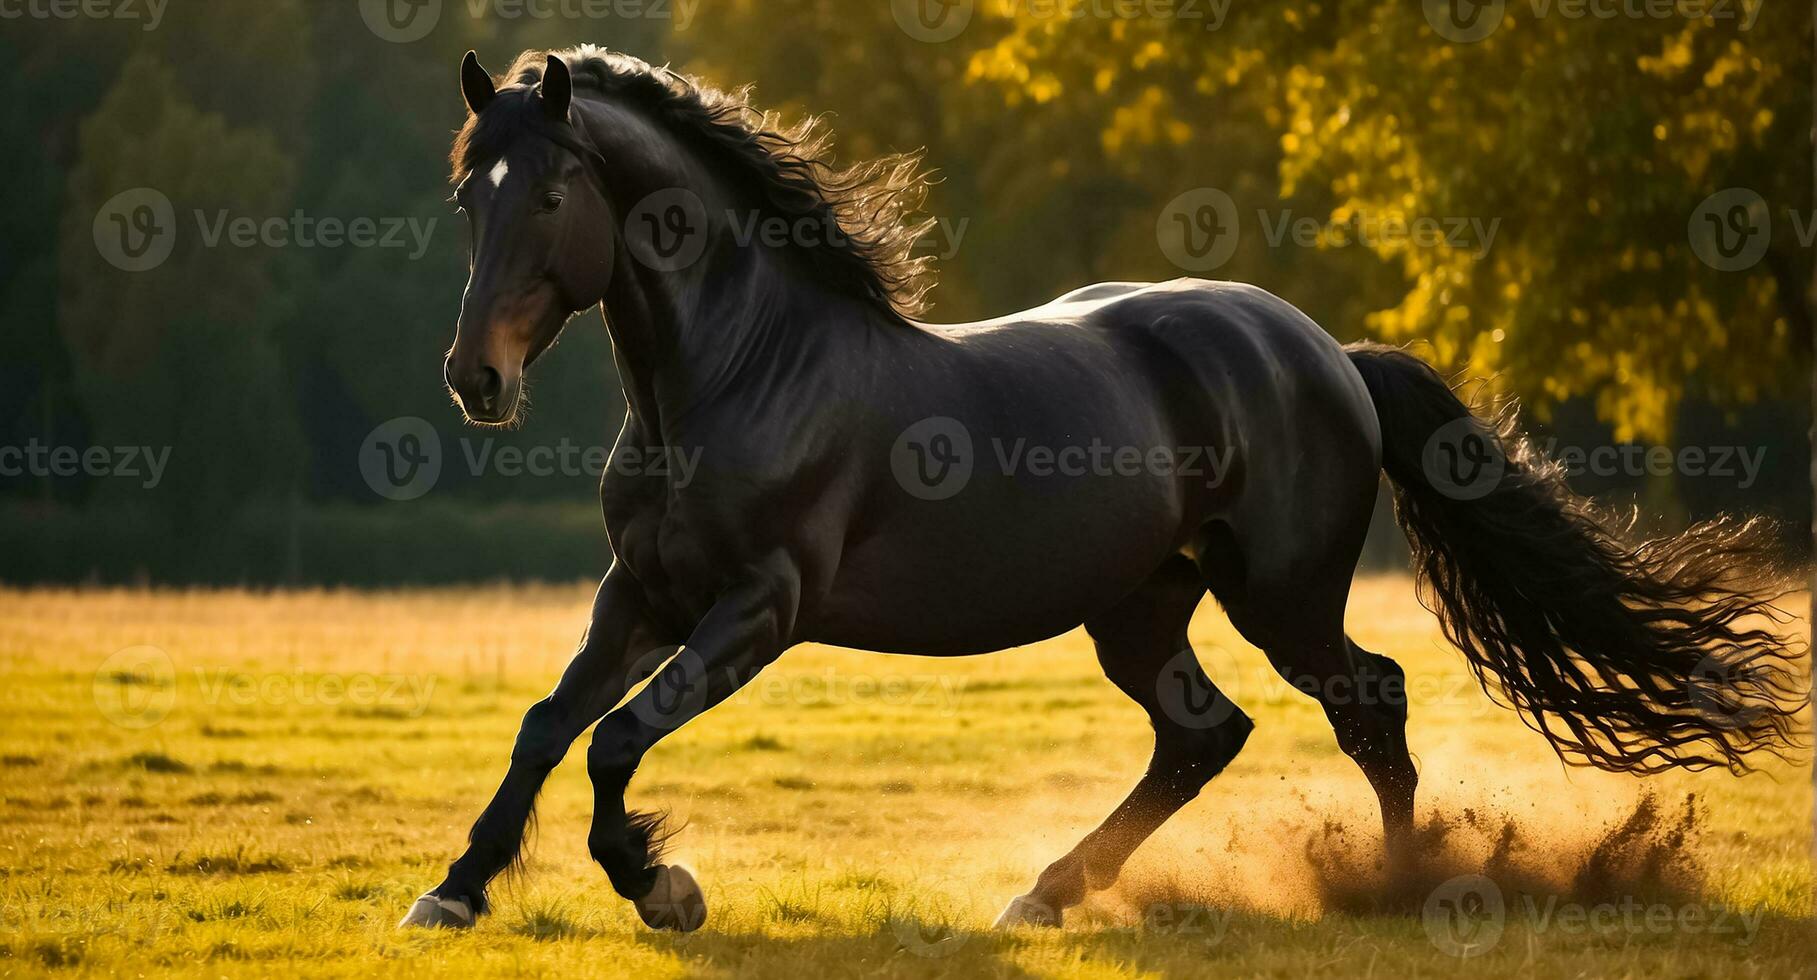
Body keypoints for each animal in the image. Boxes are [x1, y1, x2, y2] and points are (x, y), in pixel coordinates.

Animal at [401, 47, 1802, 938]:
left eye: (555, 189)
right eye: (469, 191)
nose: (475, 377)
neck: (740, 371)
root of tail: (1325, 352)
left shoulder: (759, 606)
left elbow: (617, 737)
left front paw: (662, 885)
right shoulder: (639, 591)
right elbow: (546, 724)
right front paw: (453, 890)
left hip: (1279, 592)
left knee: (1368, 699)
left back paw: (1398, 890)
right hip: (1139, 608)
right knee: (1203, 732)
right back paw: (1045, 891)